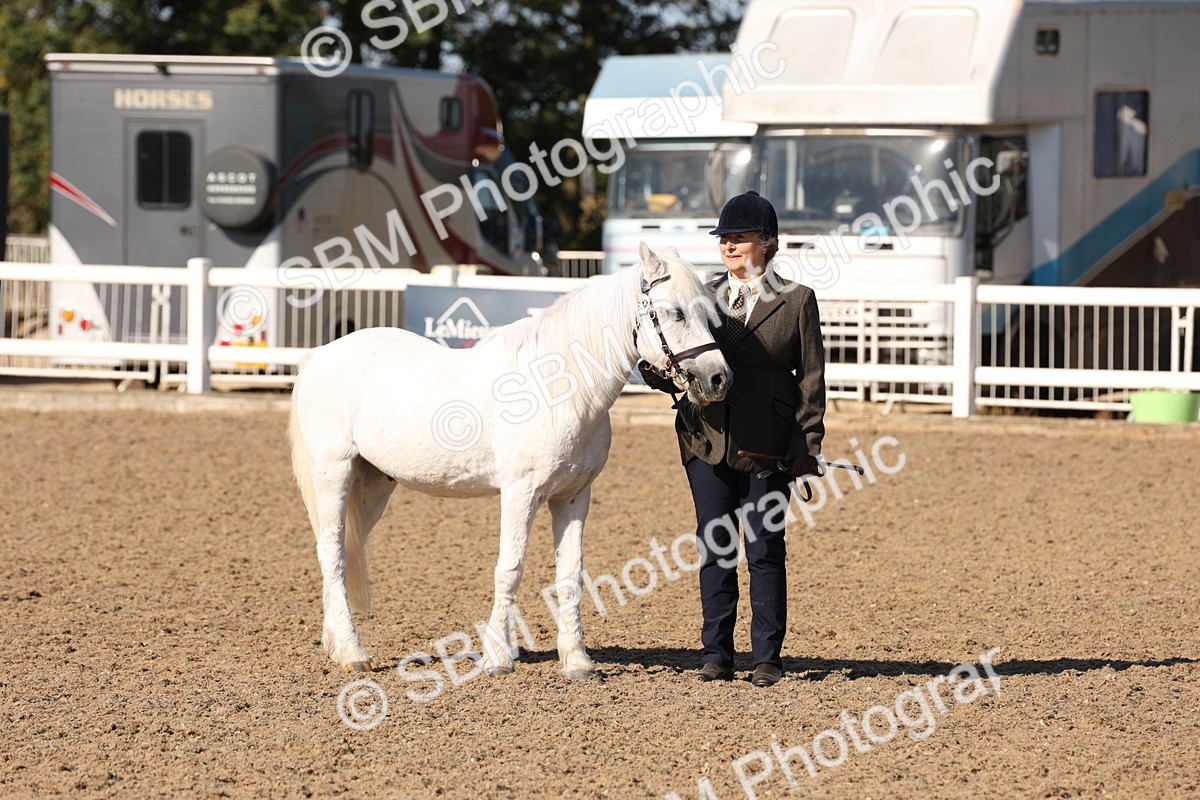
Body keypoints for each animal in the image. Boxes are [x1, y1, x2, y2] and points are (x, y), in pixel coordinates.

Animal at [288, 243, 732, 678]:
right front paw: (497, 658)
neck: (557, 387)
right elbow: (510, 569)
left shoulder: (573, 497)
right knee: (332, 553)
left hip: (373, 484)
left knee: (344, 550)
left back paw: (335, 644)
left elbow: (570, 575)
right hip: (334, 473)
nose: (719, 379)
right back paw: (352, 653)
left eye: (708, 314)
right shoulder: (520, 493)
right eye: (674, 312)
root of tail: (319, 355)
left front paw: (577, 661)